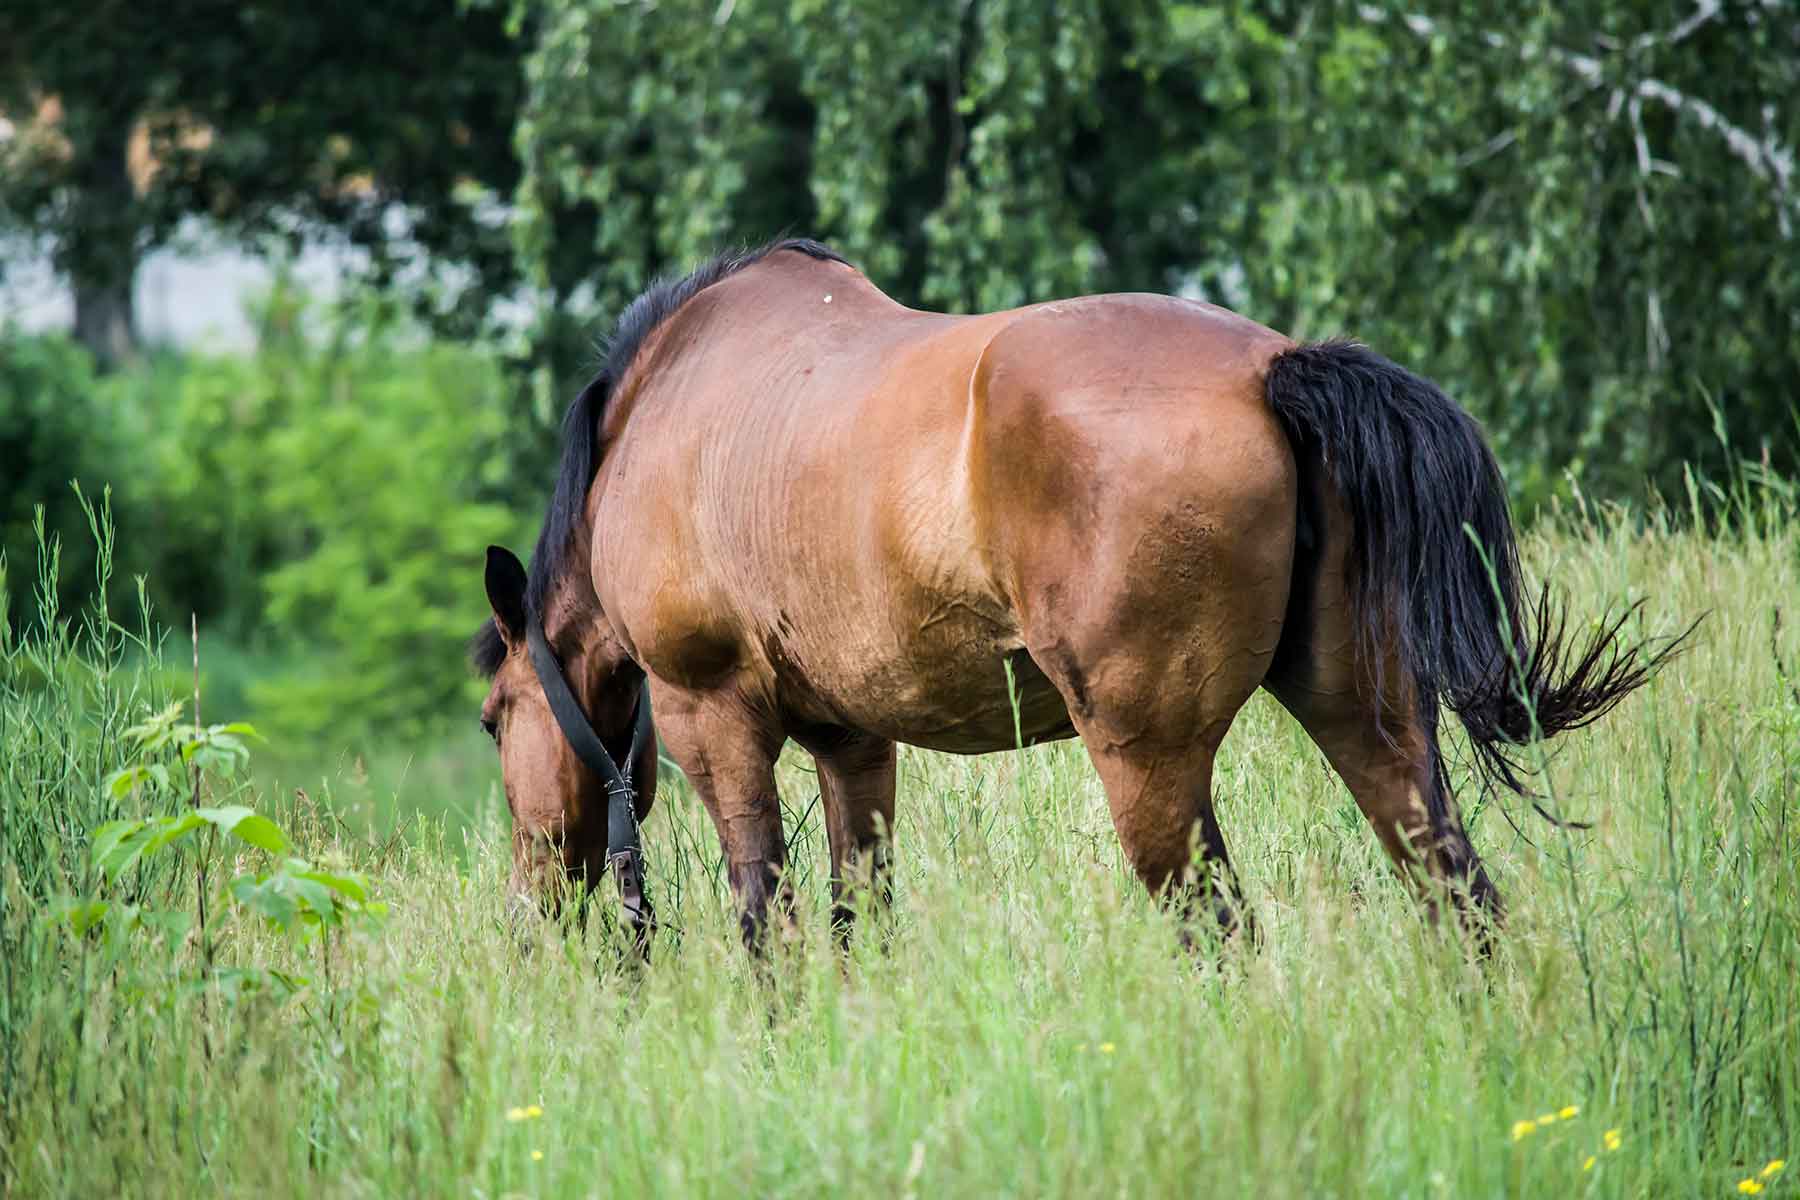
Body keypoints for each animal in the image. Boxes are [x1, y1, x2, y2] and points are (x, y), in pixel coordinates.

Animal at [472, 237, 1676, 952]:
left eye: (493, 720)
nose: (530, 913)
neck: (667, 406)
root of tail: (1274, 369)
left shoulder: (713, 719)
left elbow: (765, 912)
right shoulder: (852, 743)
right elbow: (863, 915)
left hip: (1148, 759)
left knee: (1220, 927)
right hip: (1366, 718)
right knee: (1457, 894)